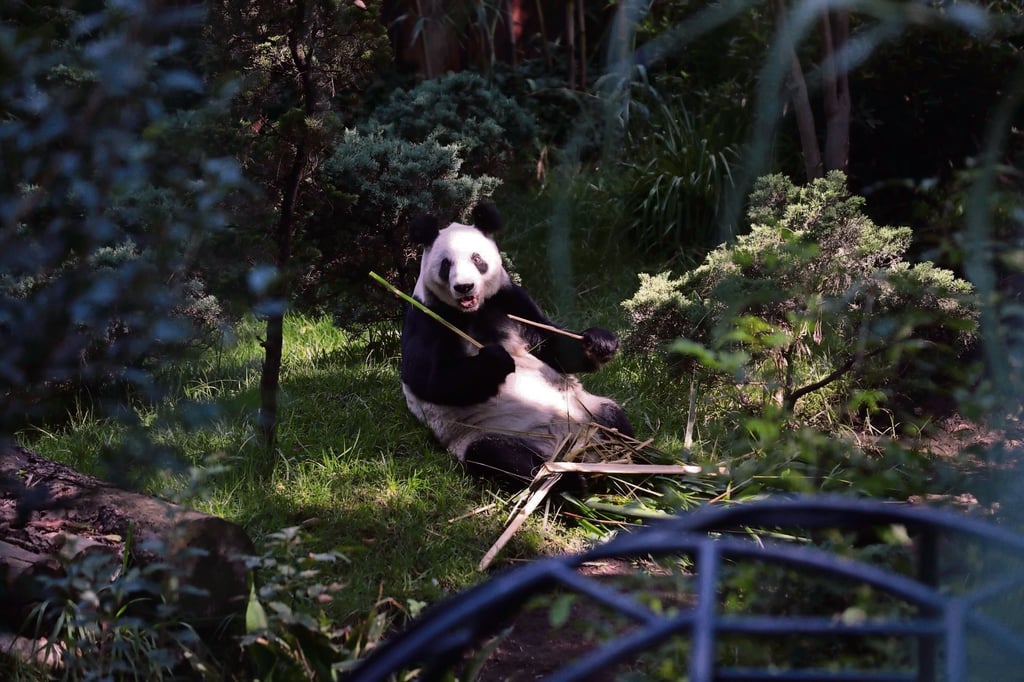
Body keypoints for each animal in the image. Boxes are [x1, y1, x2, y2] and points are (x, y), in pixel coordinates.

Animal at [401, 203, 633, 487]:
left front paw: (599, 342)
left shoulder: (509, 300)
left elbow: (550, 344)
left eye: (477, 259)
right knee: (502, 458)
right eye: (446, 264)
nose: (464, 287)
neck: (472, 311)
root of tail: (562, 445)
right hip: (489, 434)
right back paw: (567, 480)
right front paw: (495, 360)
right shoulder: (427, 317)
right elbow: (428, 378)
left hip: (588, 410)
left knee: (616, 422)